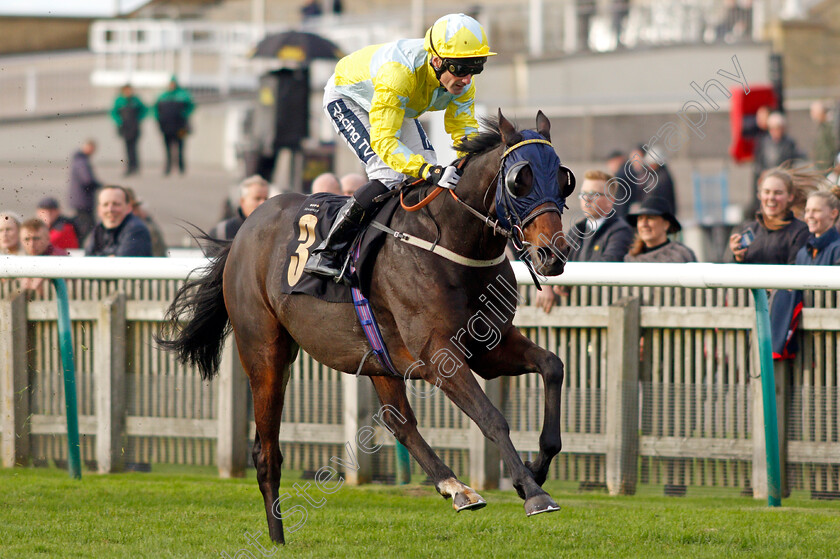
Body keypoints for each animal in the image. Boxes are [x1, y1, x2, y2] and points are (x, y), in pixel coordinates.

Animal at [158, 109, 576, 544]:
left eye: (564, 178)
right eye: (520, 179)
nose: (553, 253)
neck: (452, 242)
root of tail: (242, 232)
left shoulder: (488, 348)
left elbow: (552, 366)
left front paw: (538, 467)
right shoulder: (439, 355)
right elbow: (492, 417)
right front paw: (534, 493)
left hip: (377, 357)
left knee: (398, 422)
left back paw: (456, 488)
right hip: (264, 351)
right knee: (267, 452)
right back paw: (277, 537)